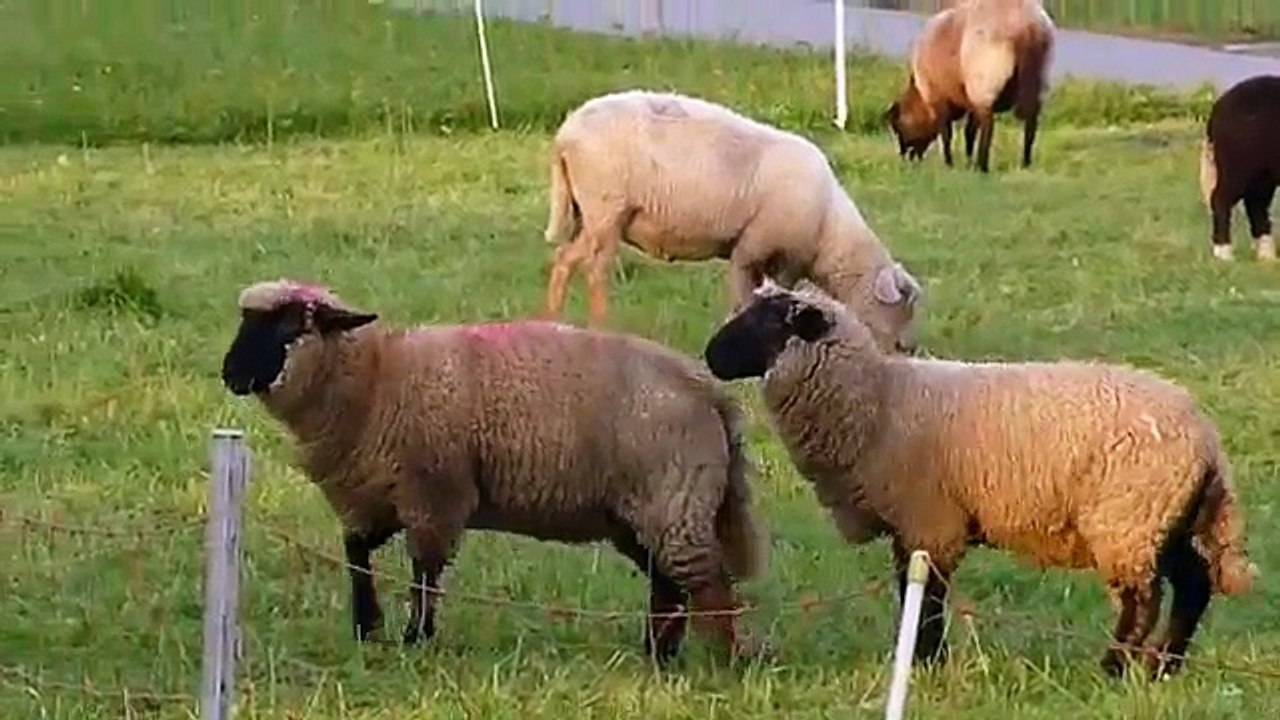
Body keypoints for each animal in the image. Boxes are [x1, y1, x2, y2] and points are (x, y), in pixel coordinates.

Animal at [219, 278, 769, 665]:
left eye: (290, 326)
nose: (230, 374)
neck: (377, 380)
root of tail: (709, 392)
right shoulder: (377, 496)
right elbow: (355, 554)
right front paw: (367, 625)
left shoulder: (433, 495)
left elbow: (424, 574)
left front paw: (415, 637)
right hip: (641, 510)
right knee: (668, 581)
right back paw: (659, 653)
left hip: (674, 499)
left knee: (709, 582)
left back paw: (722, 659)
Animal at [541, 88, 924, 354]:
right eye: (902, 307)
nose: (907, 350)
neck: (828, 235)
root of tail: (565, 133)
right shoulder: (756, 249)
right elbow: (746, 299)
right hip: (606, 210)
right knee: (593, 268)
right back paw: (600, 326)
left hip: (585, 212)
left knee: (565, 259)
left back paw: (553, 320)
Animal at [701, 279, 1257, 679]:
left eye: (768, 323)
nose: (709, 356)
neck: (877, 403)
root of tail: (1207, 439)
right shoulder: (917, 526)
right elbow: (914, 591)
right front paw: (925, 660)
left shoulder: (929, 521)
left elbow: (924, 597)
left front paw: (924, 662)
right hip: (1164, 517)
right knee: (1194, 584)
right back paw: (1165, 666)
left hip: (1128, 518)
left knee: (1144, 599)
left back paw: (1115, 668)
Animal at [886, 0, 1056, 172]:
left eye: (898, 128)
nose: (904, 157)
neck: (921, 97)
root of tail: (1027, 24)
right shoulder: (970, 101)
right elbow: (970, 131)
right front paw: (967, 161)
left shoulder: (939, 98)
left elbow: (946, 134)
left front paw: (949, 164)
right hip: (1036, 80)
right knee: (1030, 124)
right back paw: (1025, 164)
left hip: (984, 84)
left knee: (988, 126)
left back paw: (982, 166)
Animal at [1199, 74, 1280, 262]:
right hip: (1238, 166)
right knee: (1221, 199)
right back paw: (1224, 254)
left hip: (1262, 174)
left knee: (1256, 205)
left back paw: (1267, 257)